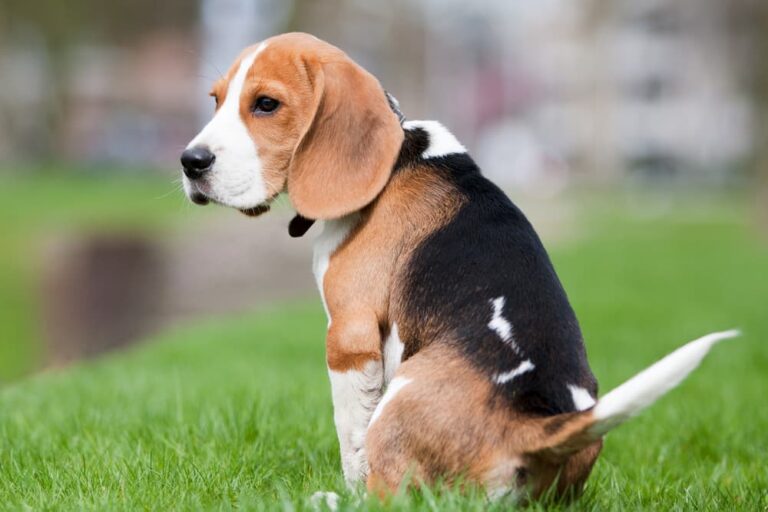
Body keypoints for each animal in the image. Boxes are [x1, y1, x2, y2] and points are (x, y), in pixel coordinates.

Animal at [182, 34, 736, 502]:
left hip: (402, 391)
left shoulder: (349, 337)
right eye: (215, 100)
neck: (396, 158)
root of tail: (536, 428)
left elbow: (351, 437)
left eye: (266, 104)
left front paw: (349, 484)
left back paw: (333, 501)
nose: (191, 161)